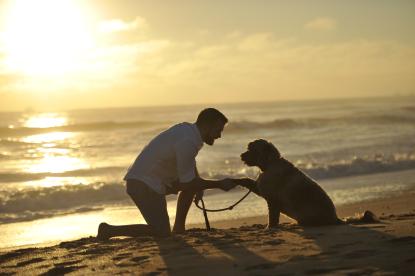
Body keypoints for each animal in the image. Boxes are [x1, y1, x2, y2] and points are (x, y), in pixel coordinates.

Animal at [236, 139, 378, 227]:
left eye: (252, 150)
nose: (241, 155)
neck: (271, 163)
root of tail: (335, 218)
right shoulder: (261, 189)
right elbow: (246, 180)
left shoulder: (272, 201)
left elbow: (272, 219)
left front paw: (269, 228)